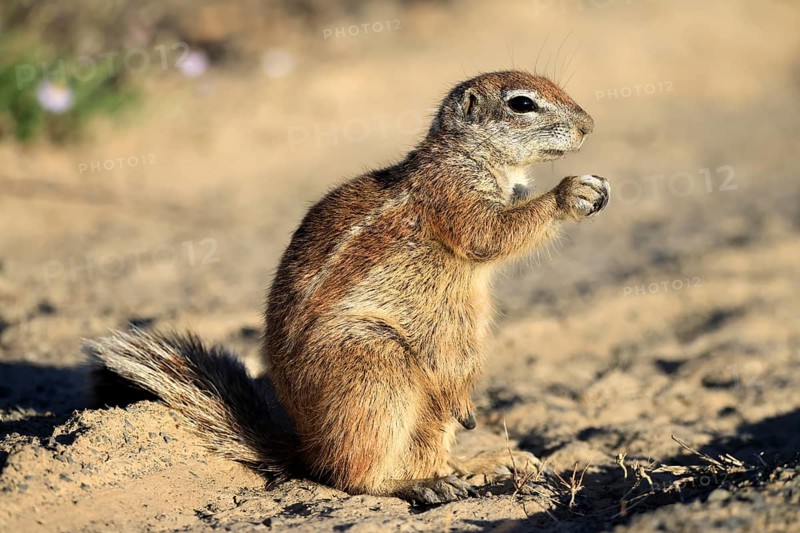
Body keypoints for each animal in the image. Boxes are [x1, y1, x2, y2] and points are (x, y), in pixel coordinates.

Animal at [84, 70, 609, 505]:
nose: (589, 126)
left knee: (430, 446)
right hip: (376, 366)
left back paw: (480, 463)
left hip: (425, 412)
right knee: (349, 476)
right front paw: (574, 192)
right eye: (522, 103)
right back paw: (420, 485)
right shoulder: (452, 196)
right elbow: (491, 234)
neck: (468, 156)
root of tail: (307, 446)